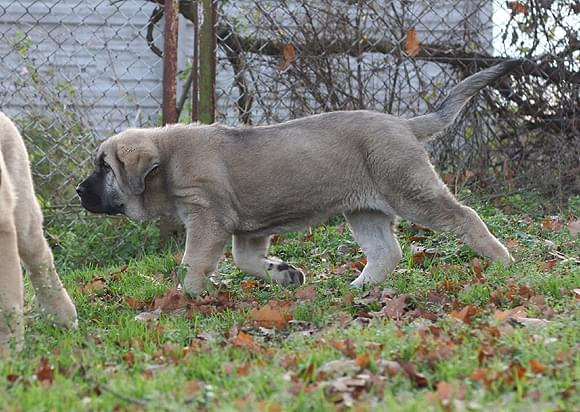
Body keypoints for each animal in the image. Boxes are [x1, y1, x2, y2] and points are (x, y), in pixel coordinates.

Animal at [78, 59, 520, 294]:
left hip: (409, 191)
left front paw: (186, 297)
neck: (167, 163)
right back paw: (358, 289)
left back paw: (502, 261)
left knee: (465, 216)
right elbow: (246, 260)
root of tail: (404, 124)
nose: (80, 190)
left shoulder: (208, 219)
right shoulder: (246, 229)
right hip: (365, 209)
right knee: (386, 251)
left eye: (104, 168)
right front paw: (284, 273)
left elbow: (194, 262)